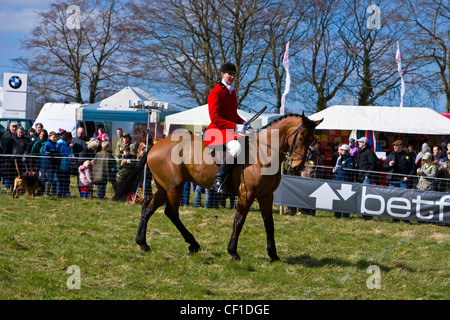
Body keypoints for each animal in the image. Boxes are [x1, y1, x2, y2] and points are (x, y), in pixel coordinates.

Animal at [112, 114, 324, 262]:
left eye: (313, 139)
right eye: (301, 136)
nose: (297, 166)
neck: (264, 152)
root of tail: (154, 146)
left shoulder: (266, 196)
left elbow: (269, 224)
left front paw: (274, 255)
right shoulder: (247, 195)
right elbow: (239, 220)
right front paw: (233, 252)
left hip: (165, 188)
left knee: (148, 207)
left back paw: (143, 243)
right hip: (174, 187)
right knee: (171, 212)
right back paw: (193, 244)